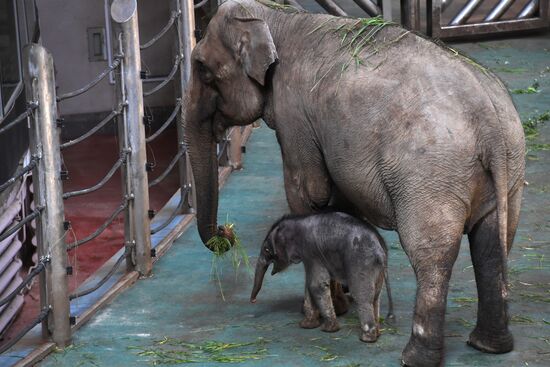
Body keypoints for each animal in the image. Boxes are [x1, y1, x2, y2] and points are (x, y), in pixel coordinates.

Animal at [252, 211, 394, 344]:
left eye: (266, 250)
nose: (253, 301)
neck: (298, 220)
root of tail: (381, 253)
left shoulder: (312, 251)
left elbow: (316, 285)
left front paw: (328, 329)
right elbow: (309, 285)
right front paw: (306, 325)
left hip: (361, 263)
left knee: (361, 296)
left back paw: (367, 339)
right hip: (377, 270)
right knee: (375, 297)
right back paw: (377, 333)